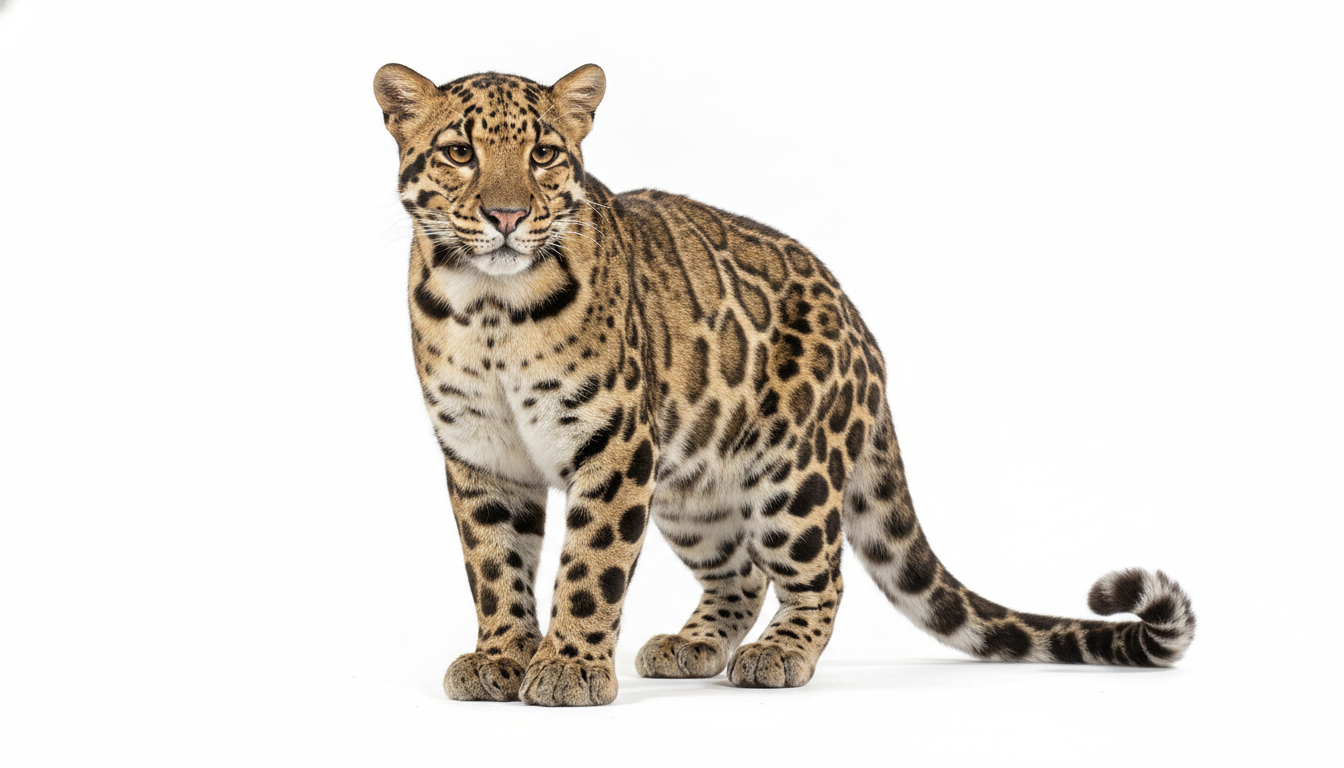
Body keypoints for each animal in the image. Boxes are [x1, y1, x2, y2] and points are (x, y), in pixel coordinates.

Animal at [373, 62, 1196, 707]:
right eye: (458, 152)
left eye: (543, 154)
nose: (507, 214)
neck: (489, 308)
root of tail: (862, 330)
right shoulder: (480, 455)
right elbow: (495, 564)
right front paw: (501, 658)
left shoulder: (612, 443)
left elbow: (591, 563)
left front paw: (569, 667)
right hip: (693, 490)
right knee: (739, 575)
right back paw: (693, 645)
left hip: (792, 480)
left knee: (818, 576)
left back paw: (781, 654)